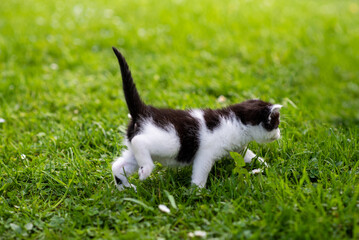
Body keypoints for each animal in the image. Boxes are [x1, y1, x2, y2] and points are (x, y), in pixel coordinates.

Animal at [111, 46, 282, 190]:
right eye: (276, 124)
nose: (280, 134)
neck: (237, 121)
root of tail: (142, 112)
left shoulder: (236, 148)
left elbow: (249, 155)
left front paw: (264, 165)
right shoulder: (206, 153)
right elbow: (201, 171)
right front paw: (197, 191)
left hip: (135, 151)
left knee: (117, 166)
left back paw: (125, 187)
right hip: (171, 142)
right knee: (139, 141)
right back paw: (146, 170)